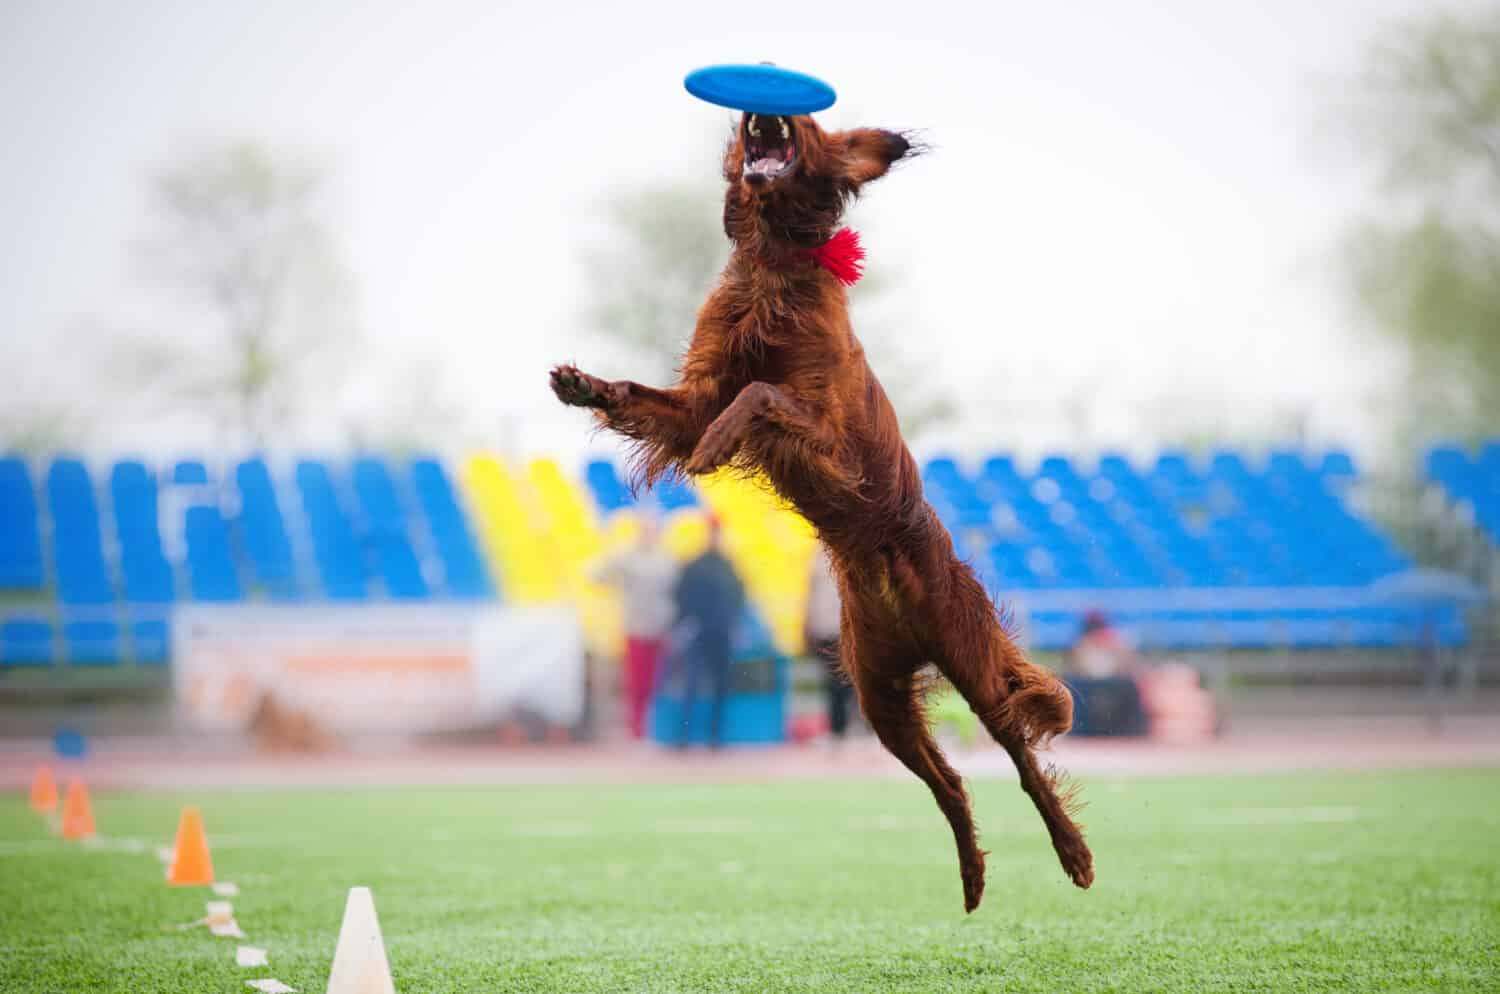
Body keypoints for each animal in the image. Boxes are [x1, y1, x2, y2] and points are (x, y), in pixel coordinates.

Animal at [552, 108, 1092, 911]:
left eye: (804, 124)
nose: (762, 112)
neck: (774, 264)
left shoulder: (827, 431)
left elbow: (759, 395)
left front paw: (716, 446)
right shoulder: (701, 390)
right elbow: (660, 400)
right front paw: (585, 384)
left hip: (976, 670)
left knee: (1024, 764)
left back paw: (1073, 853)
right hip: (879, 697)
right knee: (950, 784)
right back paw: (971, 876)